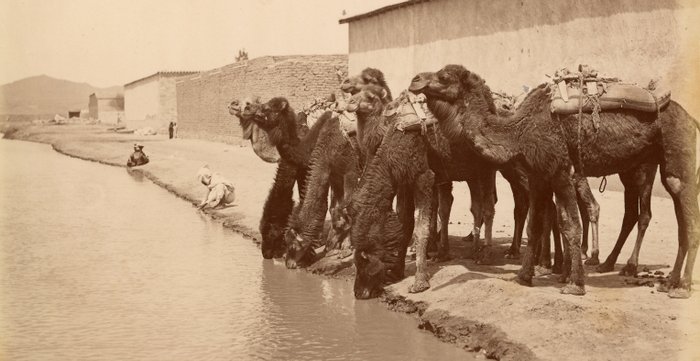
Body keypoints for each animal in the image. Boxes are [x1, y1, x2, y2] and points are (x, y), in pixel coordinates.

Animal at [410, 64, 700, 298]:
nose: (415, 80)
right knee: (678, 219)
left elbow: (570, 225)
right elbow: (535, 226)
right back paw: (669, 281)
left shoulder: (561, 173)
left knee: (683, 216)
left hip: (673, 158)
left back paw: (681, 286)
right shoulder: (538, 177)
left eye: (444, 76)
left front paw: (574, 284)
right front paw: (524, 276)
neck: (518, 131)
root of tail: (691, 120)